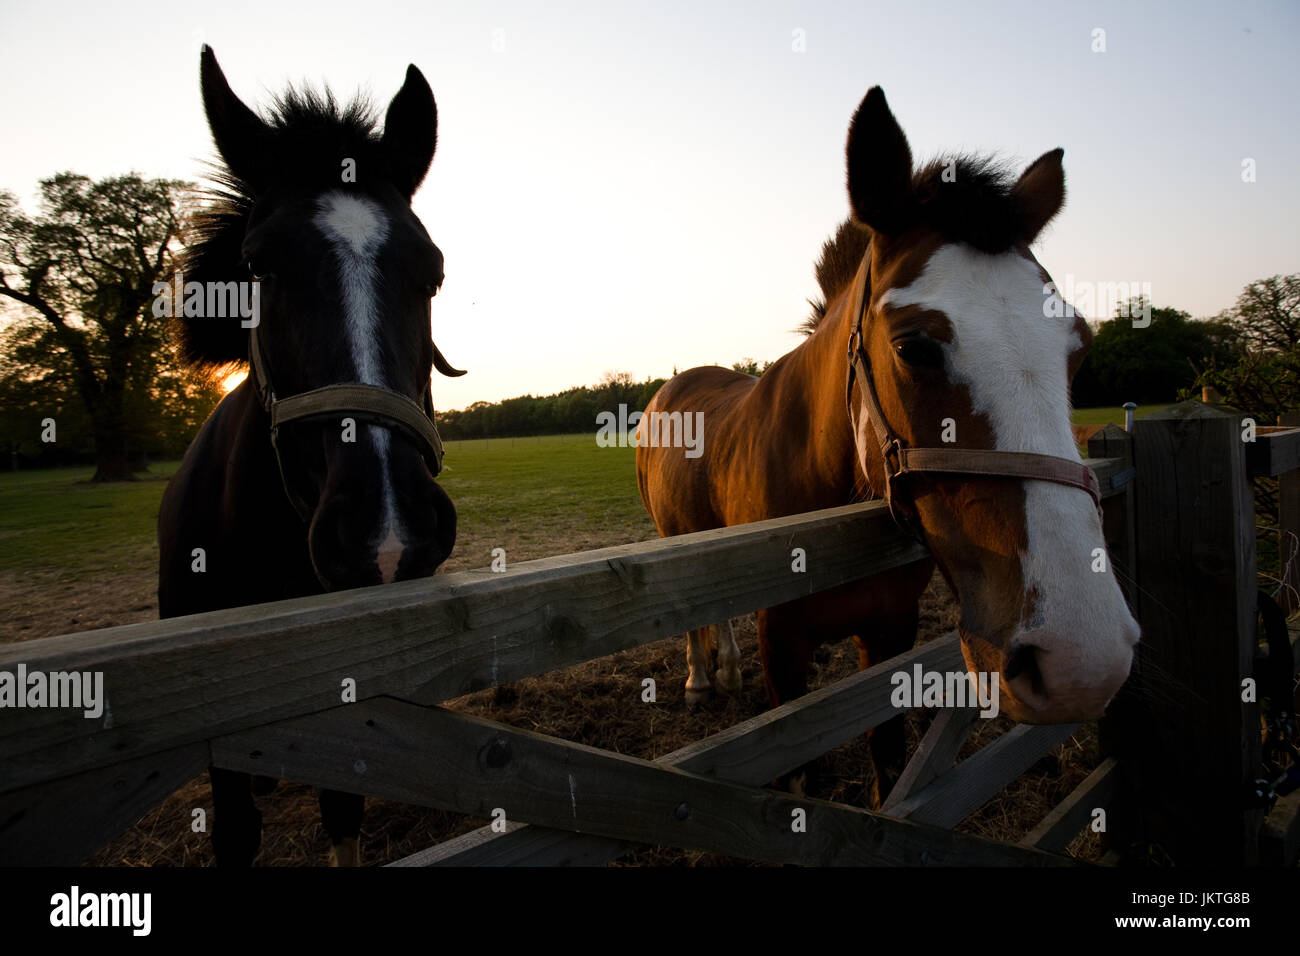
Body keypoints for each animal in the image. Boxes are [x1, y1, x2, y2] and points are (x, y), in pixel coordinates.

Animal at [636, 87, 1139, 809]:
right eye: (912, 346)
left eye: (1080, 344)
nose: (1081, 660)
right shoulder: (781, 643)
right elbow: (801, 768)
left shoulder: (890, 629)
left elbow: (887, 757)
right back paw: (702, 680)